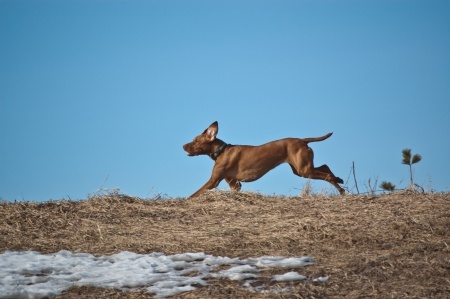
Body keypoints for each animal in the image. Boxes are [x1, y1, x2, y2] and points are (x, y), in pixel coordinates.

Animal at [183, 120, 344, 198]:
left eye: (195, 140)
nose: (183, 146)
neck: (221, 150)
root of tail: (302, 140)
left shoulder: (213, 181)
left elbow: (195, 194)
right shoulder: (235, 185)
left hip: (304, 170)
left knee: (327, 175)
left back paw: (340, 188)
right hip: (300, 169)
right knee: (325, 167)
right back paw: (339, 180)